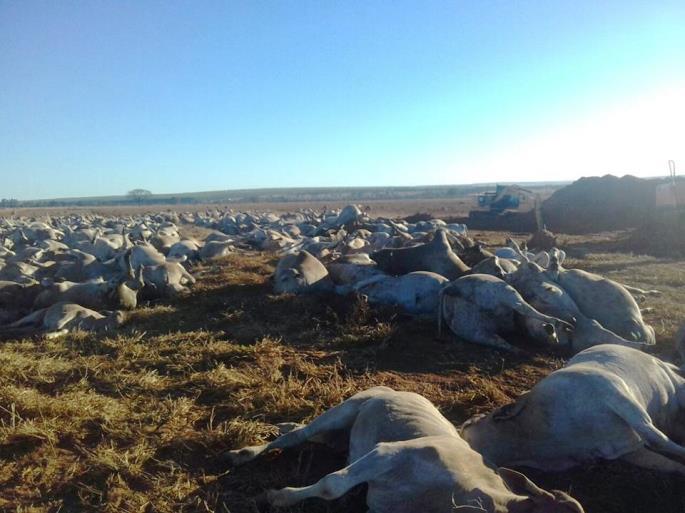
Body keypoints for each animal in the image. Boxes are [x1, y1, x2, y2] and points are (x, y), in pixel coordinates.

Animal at [224, 386, 584, 510]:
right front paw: (277, 497)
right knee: (296, 437)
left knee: (306, 436)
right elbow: (331, 485)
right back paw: (244, 453)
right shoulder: (387, 454)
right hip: (344, 409)